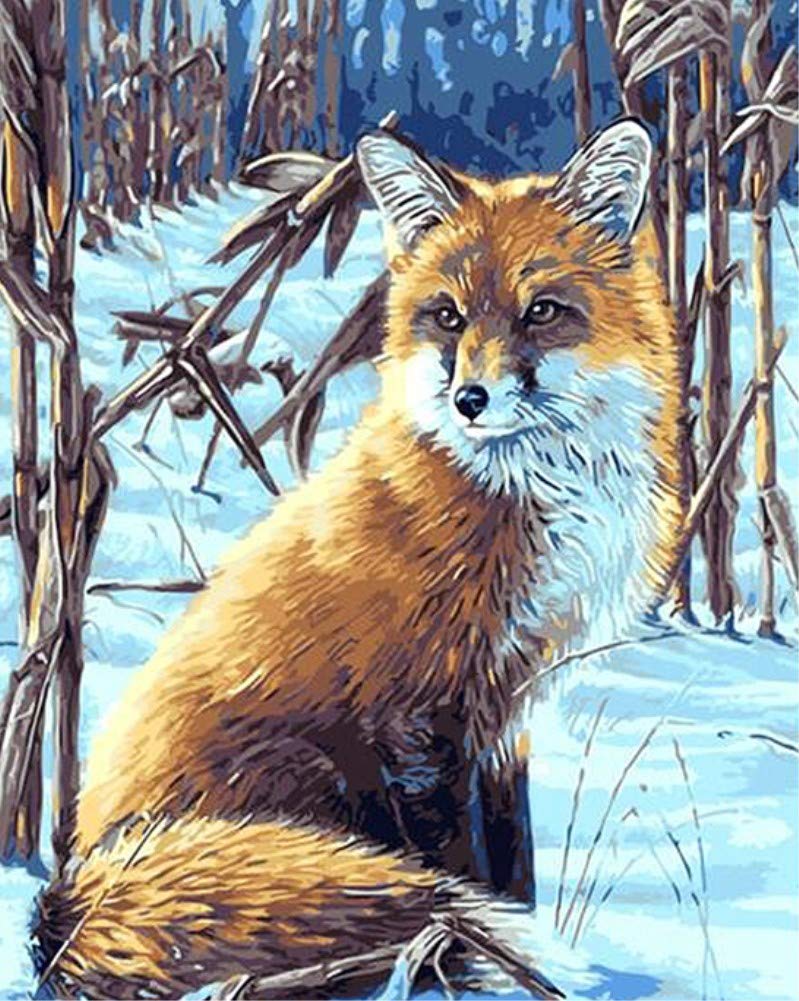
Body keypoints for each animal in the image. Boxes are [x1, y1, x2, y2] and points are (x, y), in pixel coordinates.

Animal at [34, 119, 683, 998]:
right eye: (446, 317)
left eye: (542, 312)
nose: (469, 400)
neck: (529, 490)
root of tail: (69, 897)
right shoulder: (417, 711)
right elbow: (459, 867)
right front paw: (479, 962)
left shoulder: (507, 712)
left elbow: (513, 864)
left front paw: (515, 953)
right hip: (310, 775)